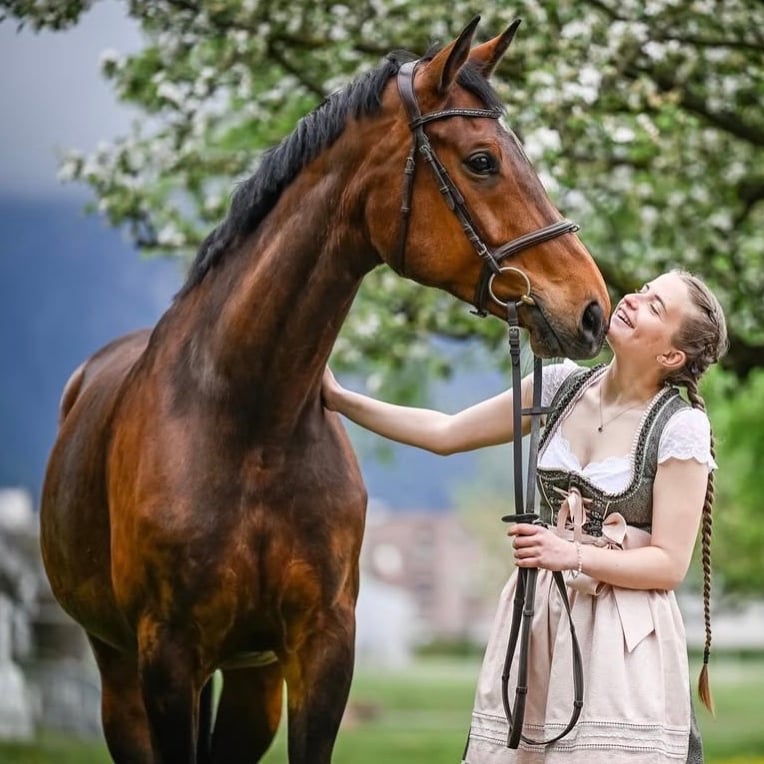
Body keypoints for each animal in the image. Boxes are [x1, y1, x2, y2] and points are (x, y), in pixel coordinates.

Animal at [40, 18, 610, 764]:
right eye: (483, 161)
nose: (593, 309)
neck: (249, 425)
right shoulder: (166, 657)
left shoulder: (322, 649)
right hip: (119, 671)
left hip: (251, 680)